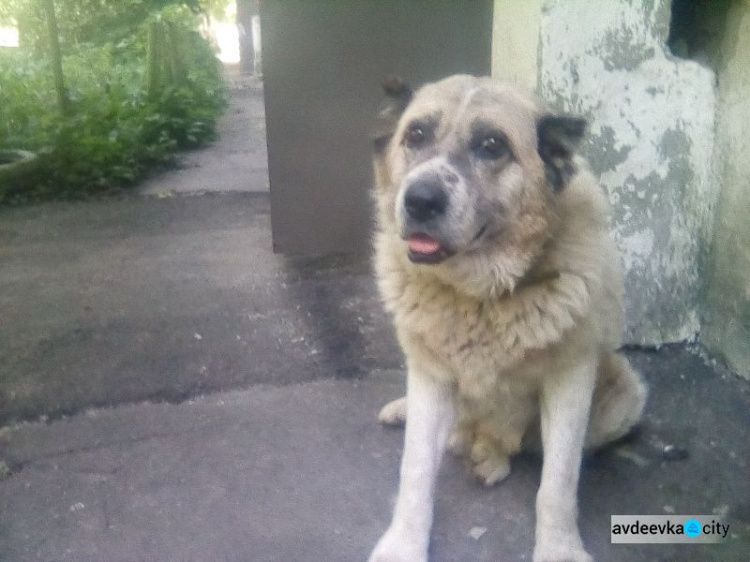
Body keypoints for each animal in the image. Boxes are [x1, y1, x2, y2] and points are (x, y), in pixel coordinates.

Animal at [368, 75, 648, 560]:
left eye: (491, 145)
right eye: (415, 135)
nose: (420, 200)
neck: (480, 296)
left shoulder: (570, 380)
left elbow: (557, 484)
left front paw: (559, 549)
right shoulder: (432, 378)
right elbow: (415, 471)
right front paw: (403, 544)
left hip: (623, 391)